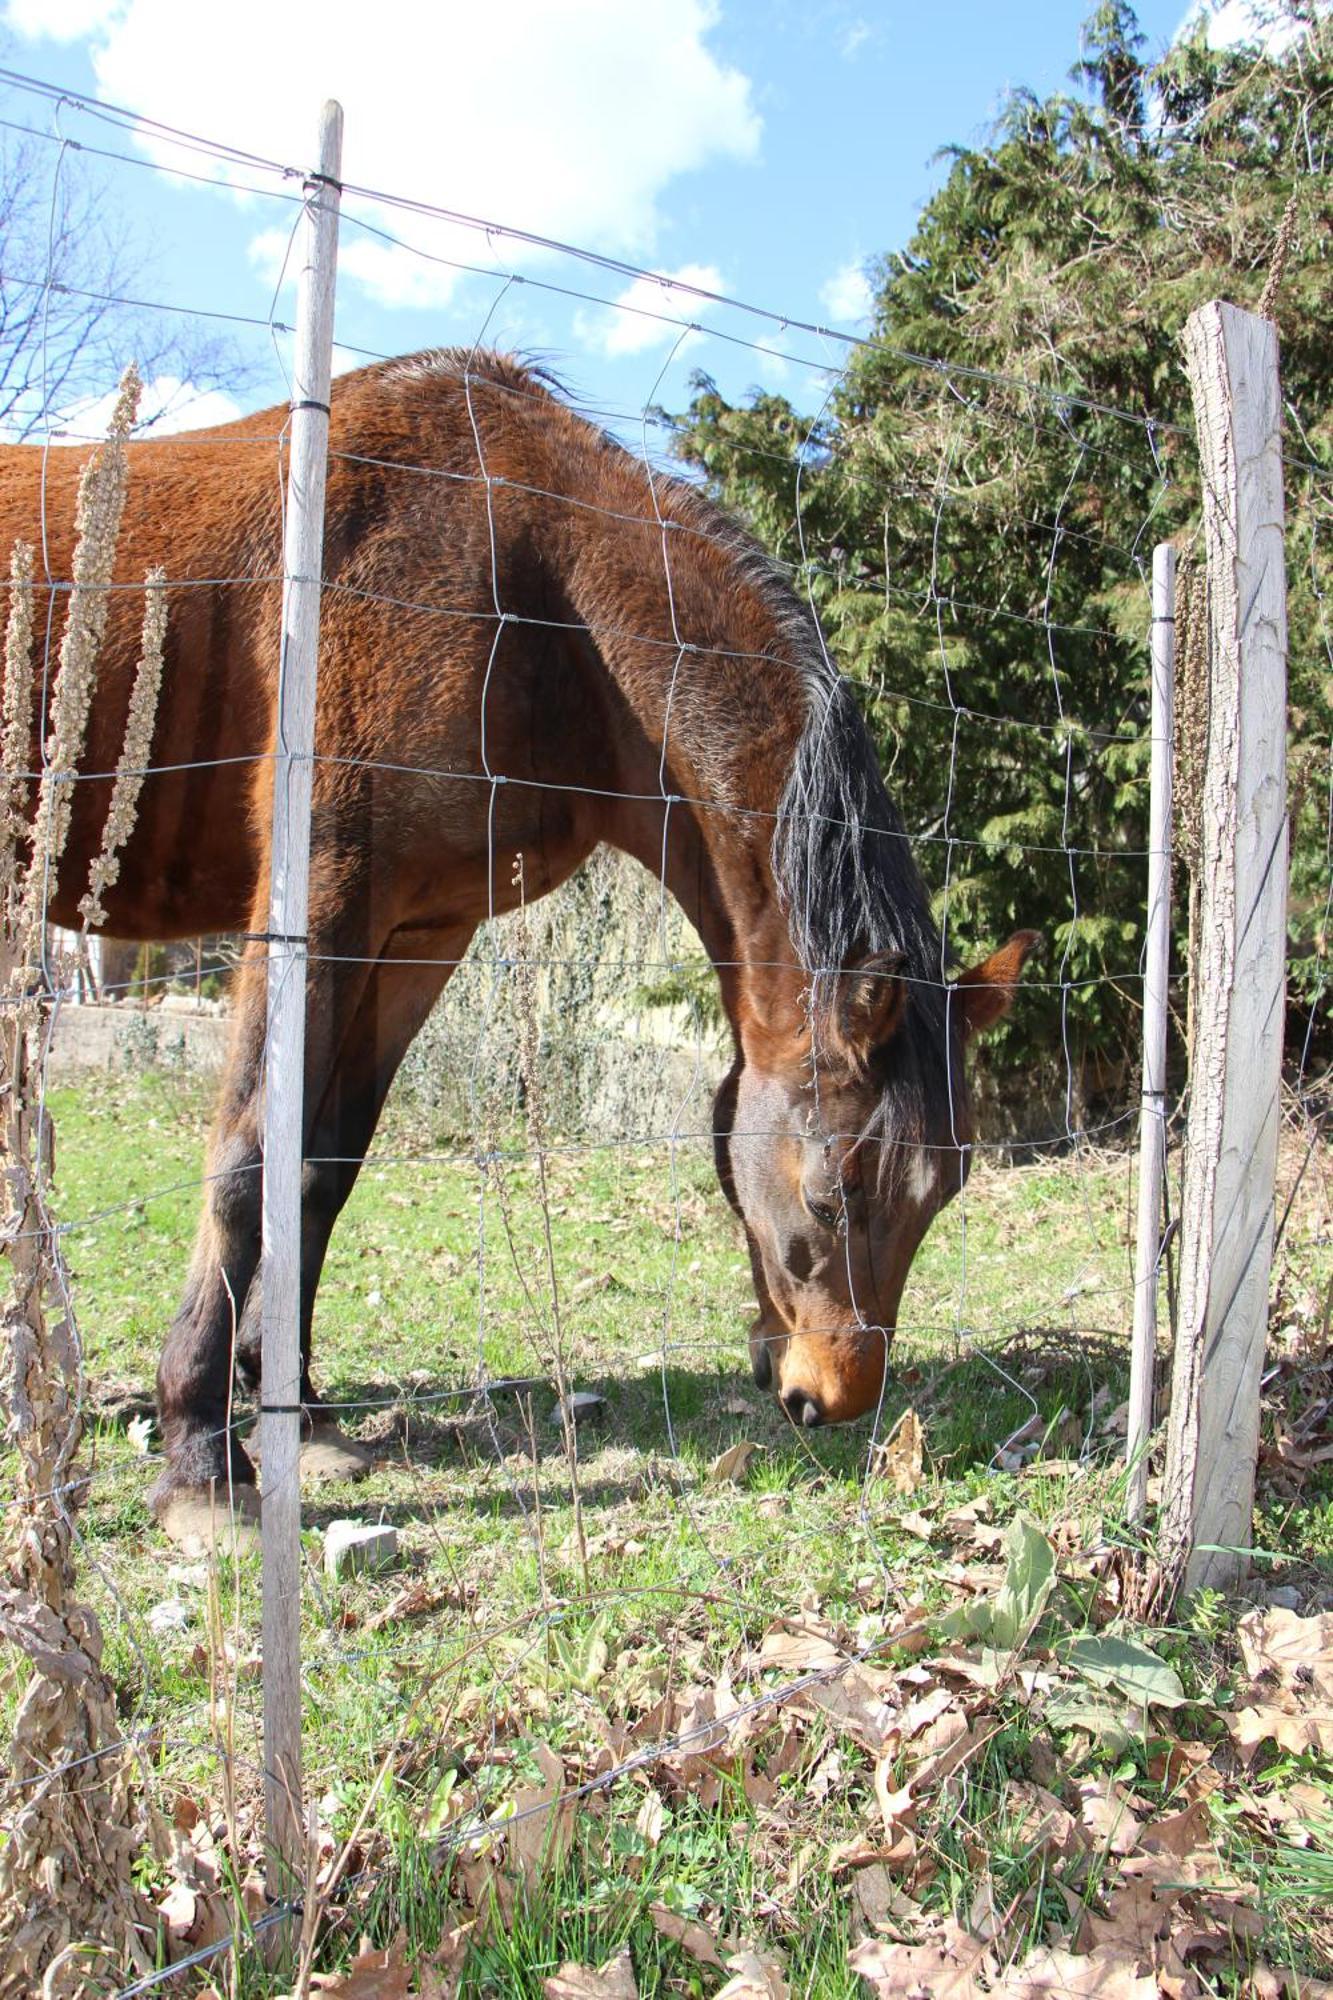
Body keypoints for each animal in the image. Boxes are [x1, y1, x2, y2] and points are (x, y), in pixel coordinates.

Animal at [0, 356, 1024, 1544]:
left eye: (940, 1194)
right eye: (831, 1198)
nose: (832, 1396)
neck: (533, 587)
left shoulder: (415, 936)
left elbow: (320, 1166)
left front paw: (296, 1412)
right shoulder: (317, 910)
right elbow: (248, 1165)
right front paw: (202, 1456)